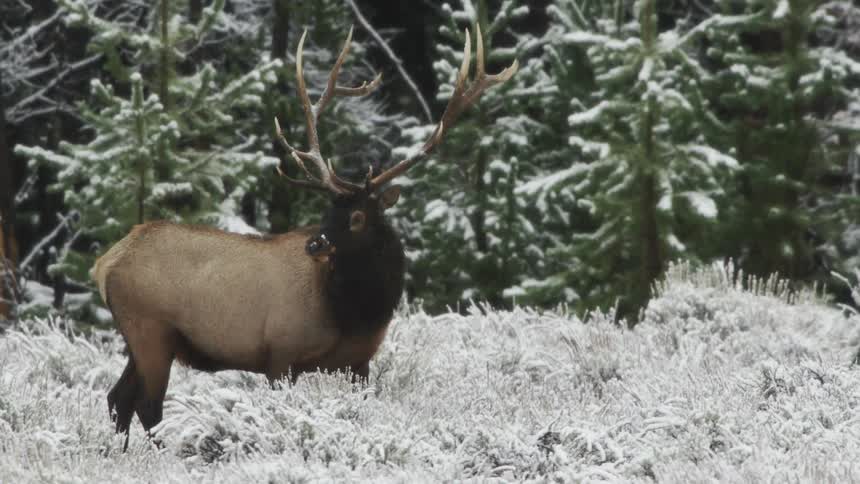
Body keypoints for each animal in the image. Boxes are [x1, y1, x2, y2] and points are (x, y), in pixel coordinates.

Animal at [95, 25, 517, 450]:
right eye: (328, 212)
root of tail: (106, 263)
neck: (355, 313)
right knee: (147, 406)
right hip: (151, 330)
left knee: (118, 397)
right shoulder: (280, 354)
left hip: (140, 339)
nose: (315, 244)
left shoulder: (359, 361)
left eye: (358, 216)